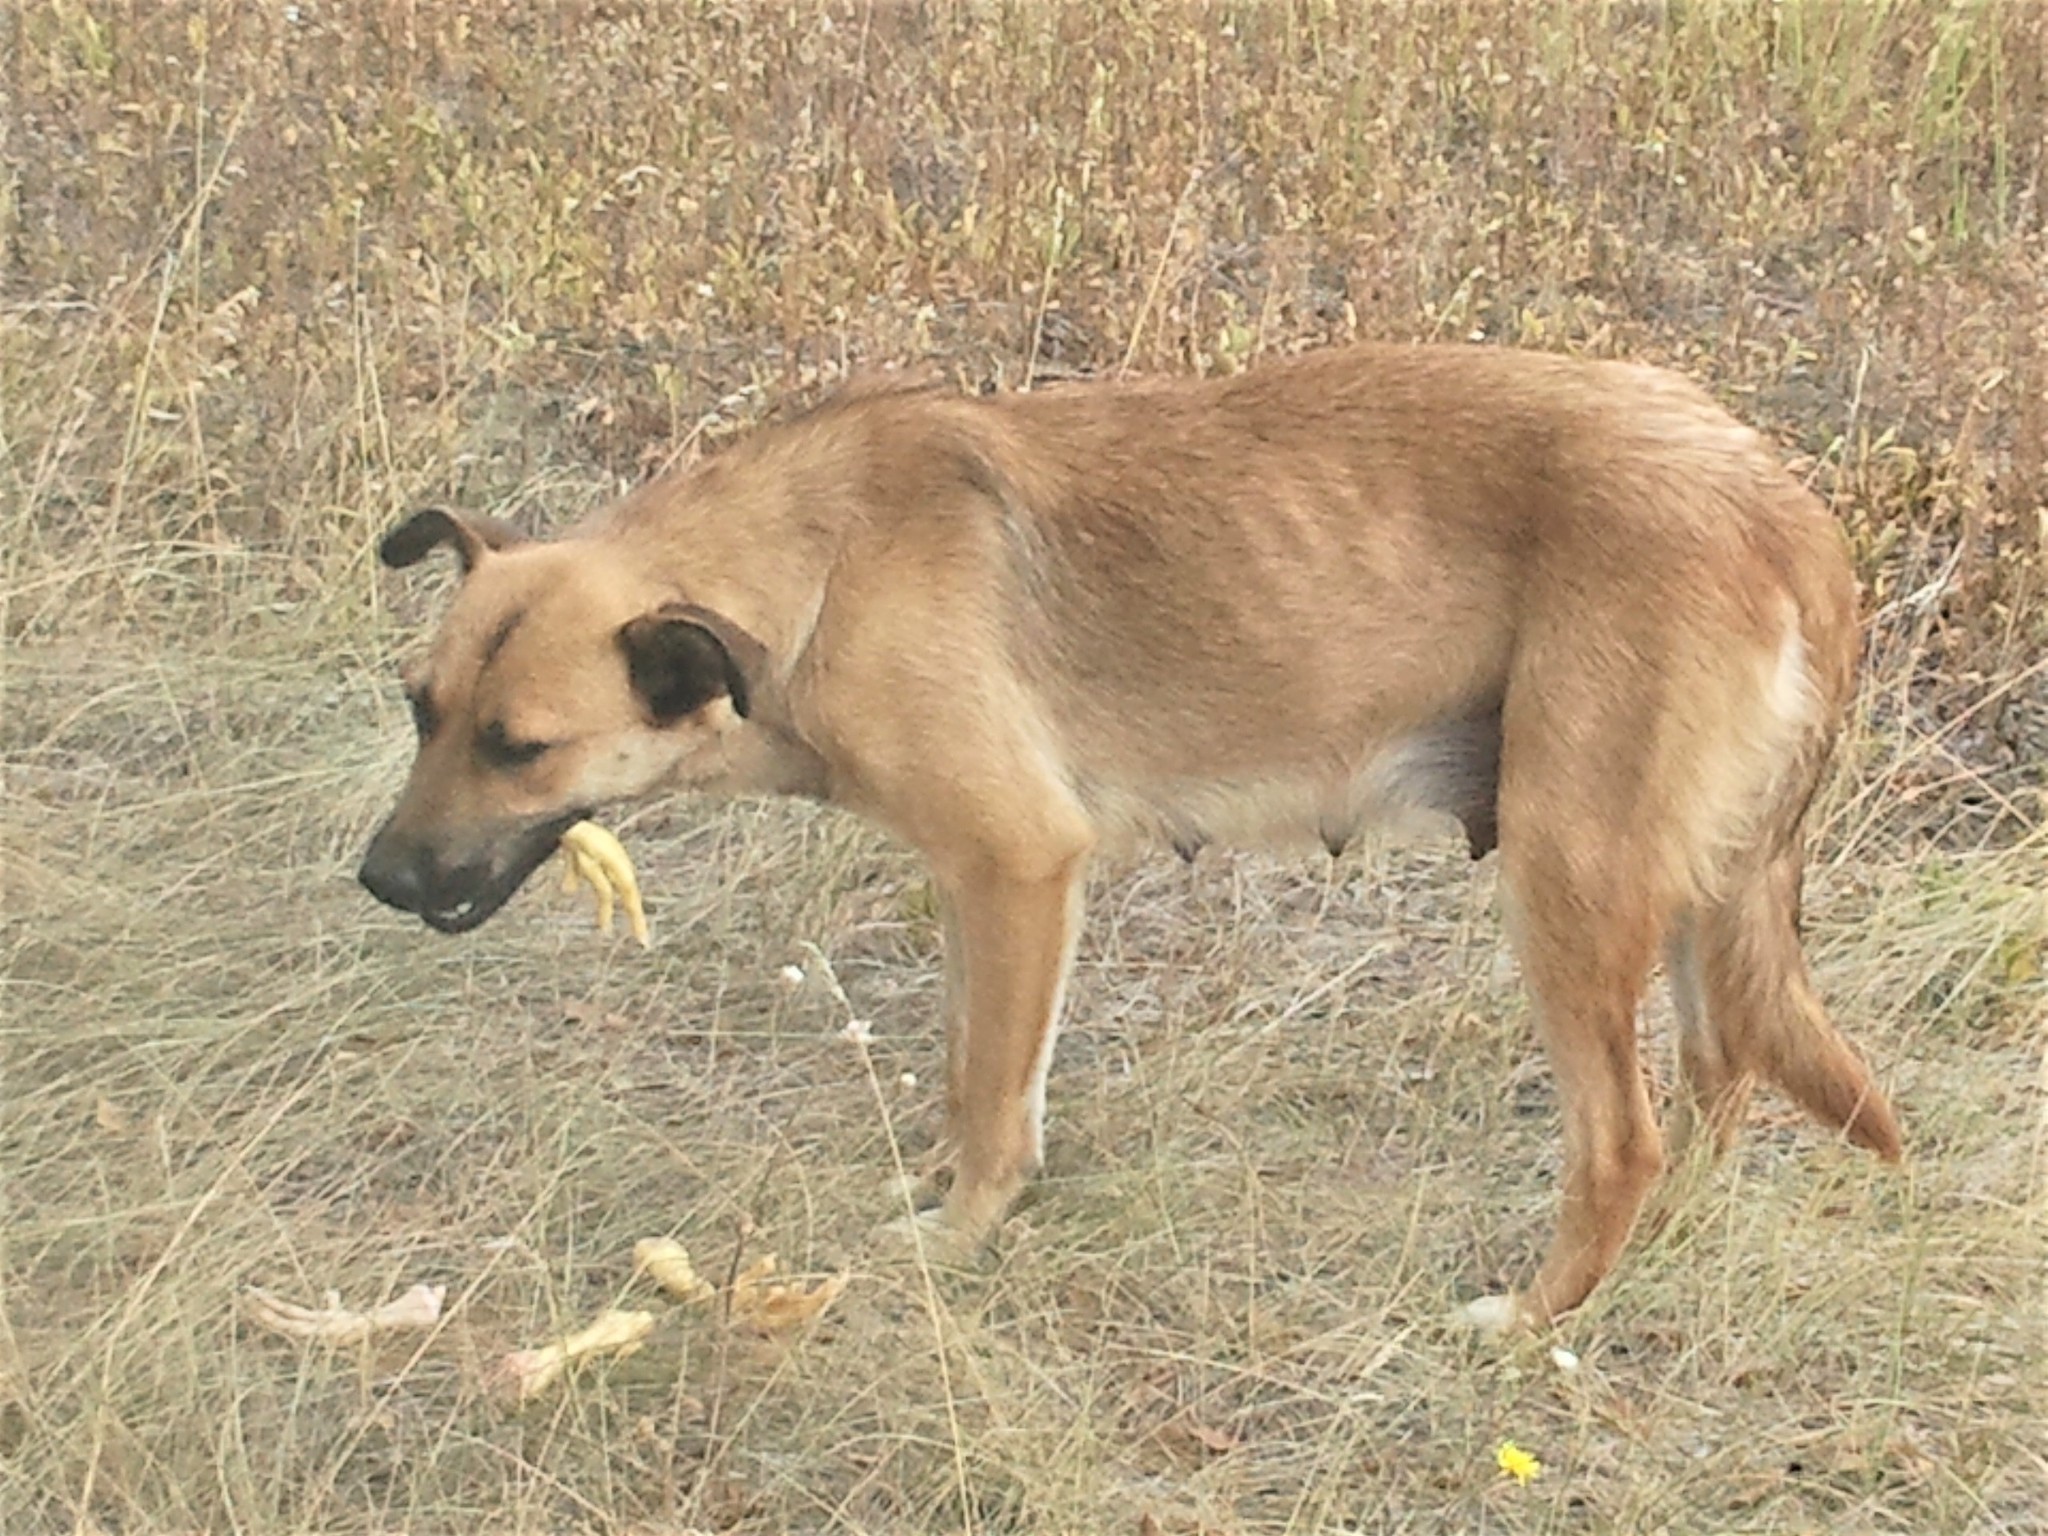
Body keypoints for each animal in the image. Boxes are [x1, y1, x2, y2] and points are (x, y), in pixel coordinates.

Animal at [364, 342, 1900, 1327]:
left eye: (518, 747)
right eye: (421, 708)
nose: (377, 880)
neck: (821, 565)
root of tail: (1785, 504)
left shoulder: (1020, 865)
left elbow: (994, 1097)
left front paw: (957, 1239)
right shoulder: (974, 886)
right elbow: (964, 1070)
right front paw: (940, 1189)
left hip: (1566, 882)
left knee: (1622, 1143)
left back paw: (1528, 1320)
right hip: (1683, 889)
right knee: (1717, 1084)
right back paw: (1667, 1256)